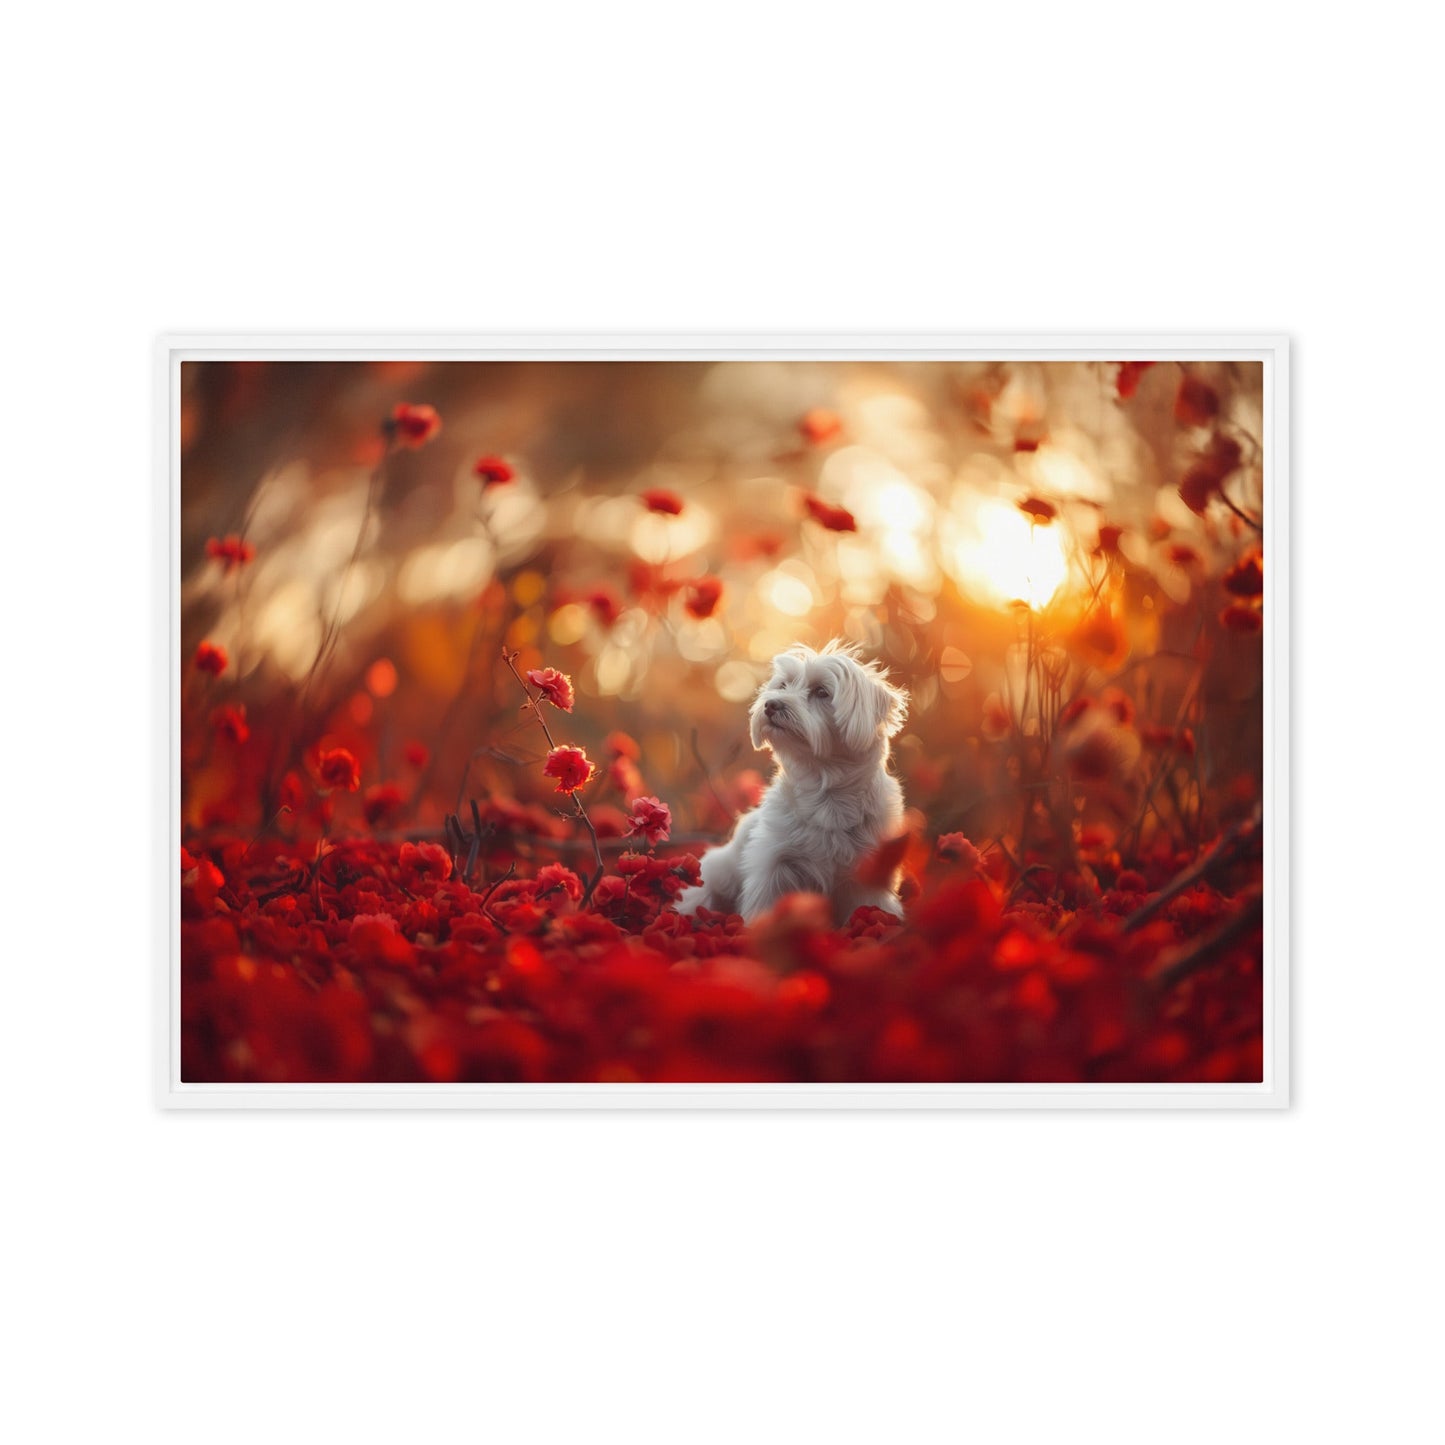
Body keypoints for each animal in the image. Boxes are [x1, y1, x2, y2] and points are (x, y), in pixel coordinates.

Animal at [673, 644, 901, 924]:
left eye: (821, 692)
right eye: (783, 685)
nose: (771, 704)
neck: (825, 793)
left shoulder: (868, 877)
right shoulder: (773, 865)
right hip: (718, 874)